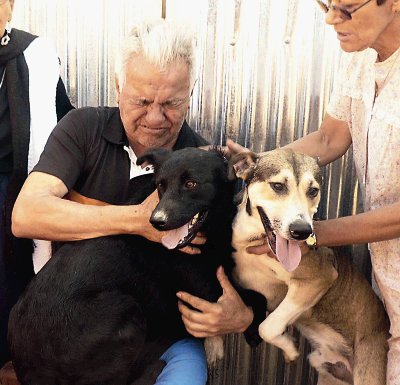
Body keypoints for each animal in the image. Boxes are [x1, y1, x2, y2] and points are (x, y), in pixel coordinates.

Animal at [7, 147, 266, 384]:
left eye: (191, 183)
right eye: (161, 185)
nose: (156, 221)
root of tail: (27, 371)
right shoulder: (208, 290)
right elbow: (255, 296)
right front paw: (254, 330)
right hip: (125, 309)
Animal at [230, 148, 390, 384]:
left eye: (313, 191)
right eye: (278, 186)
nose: (302, 231)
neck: (251, 240)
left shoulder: (318, 279)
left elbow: (267, 327)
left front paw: (289, 348)